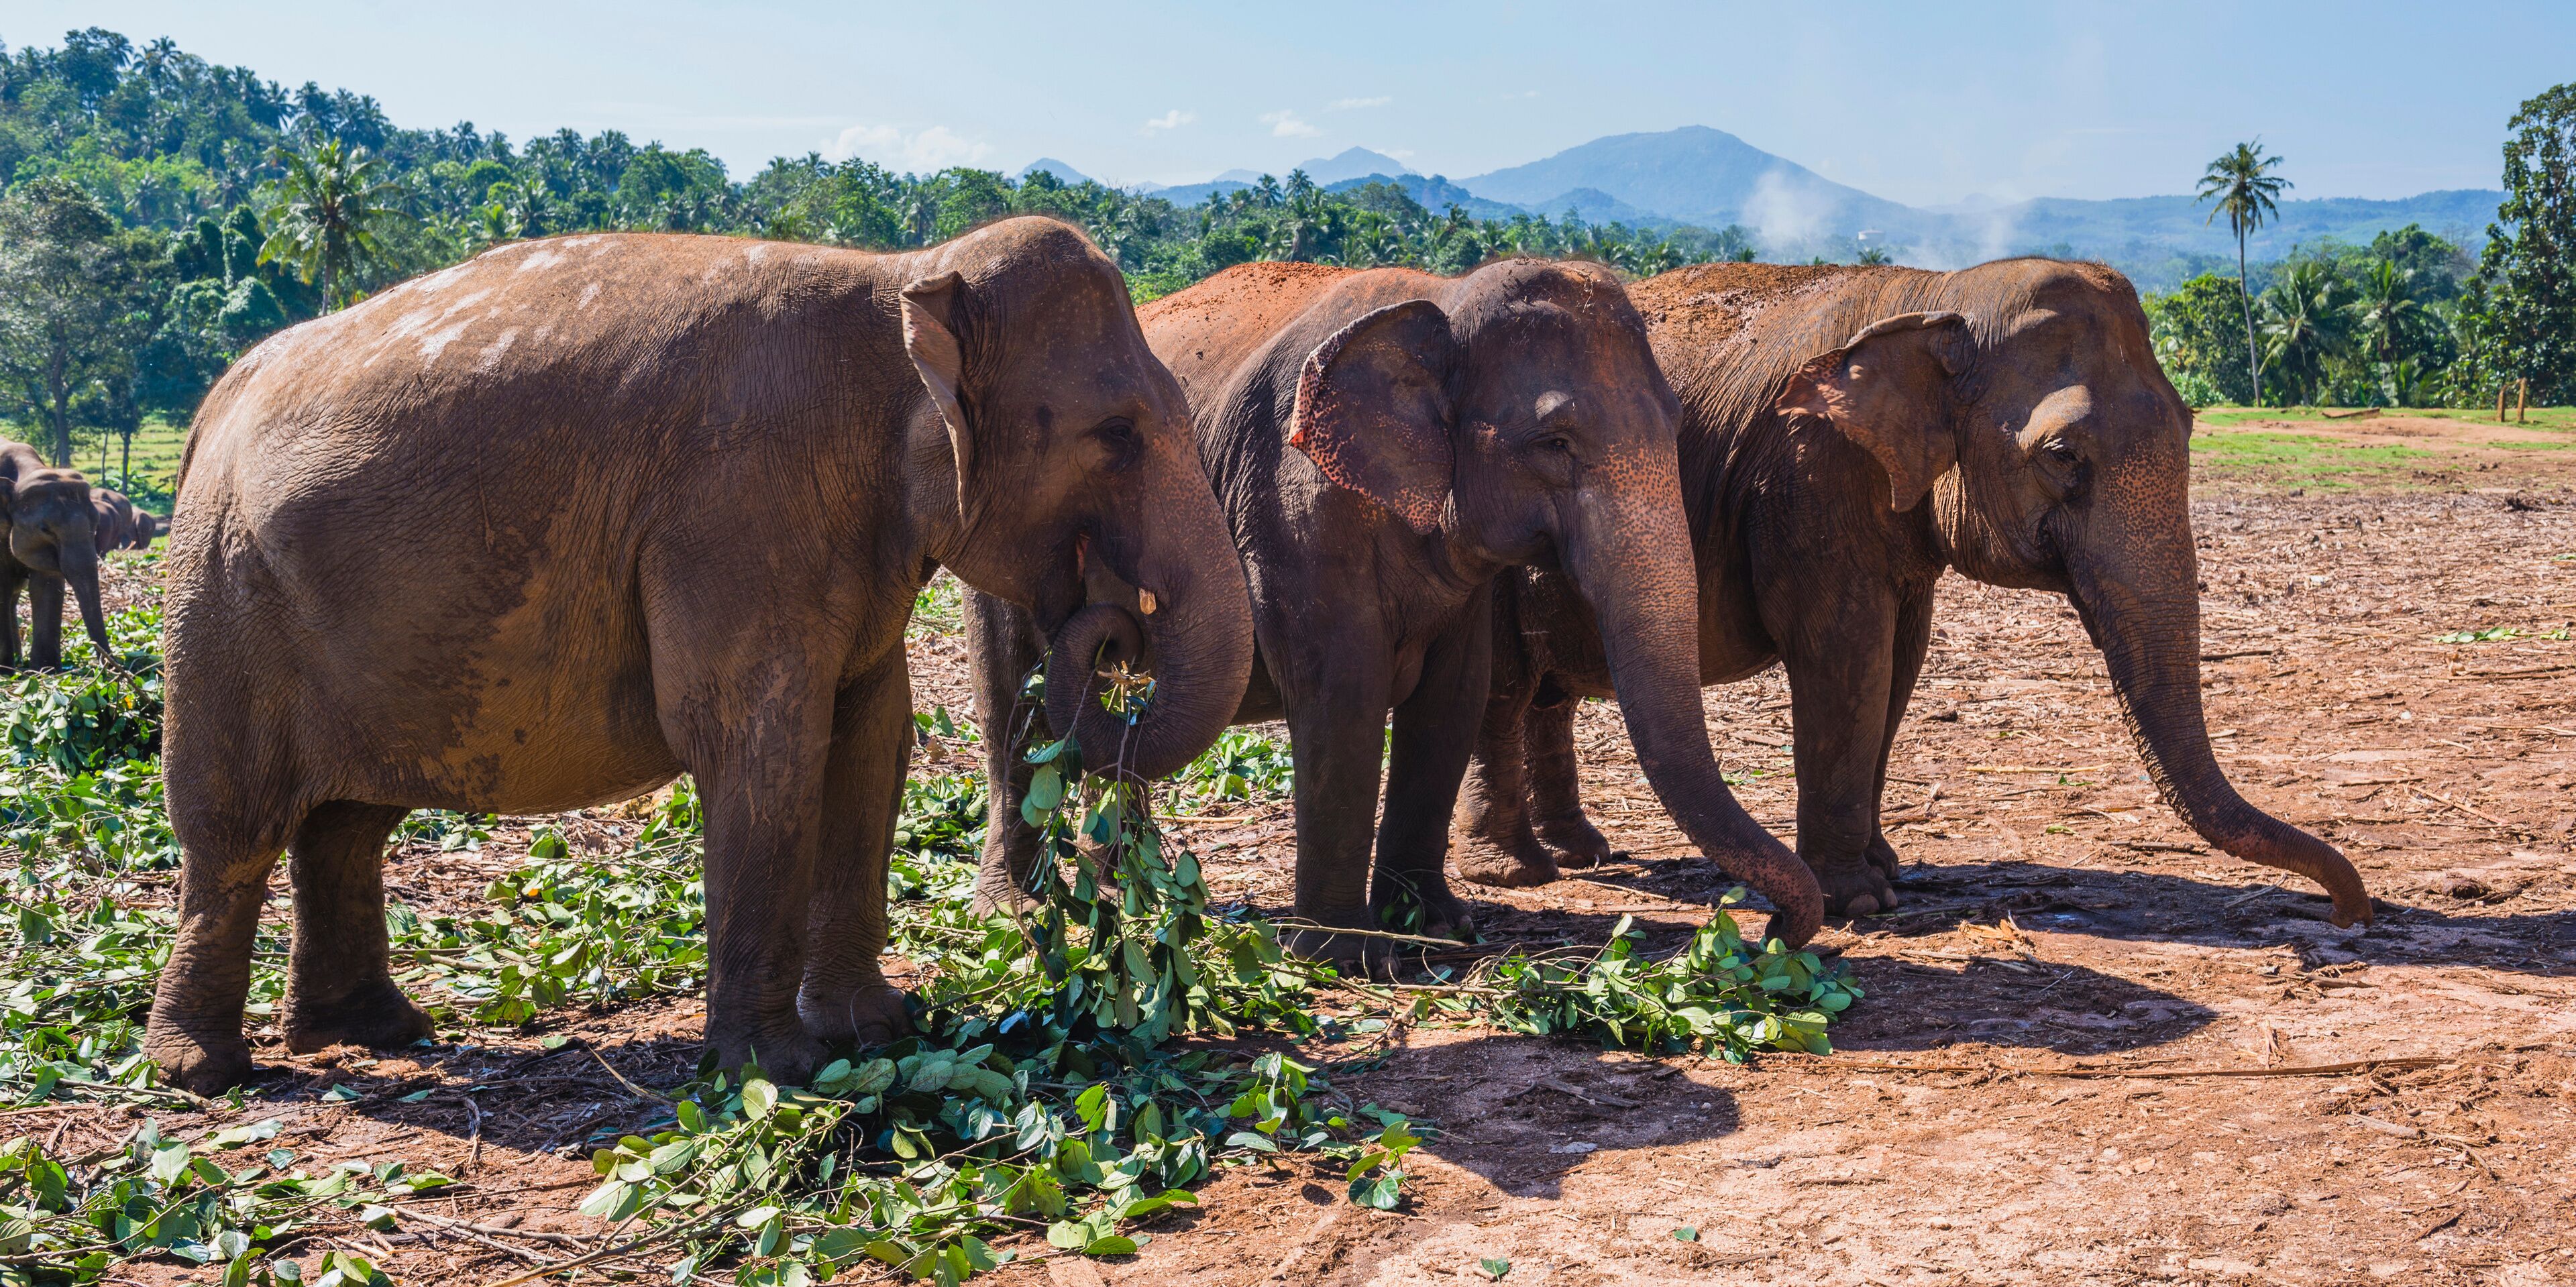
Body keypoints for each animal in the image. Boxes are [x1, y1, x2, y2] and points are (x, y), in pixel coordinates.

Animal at [0, 441, 112, 669]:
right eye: (45, 529)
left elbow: (46, 585)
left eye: (96, 524)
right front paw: (6, 670)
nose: (110, 666)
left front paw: (46, 670)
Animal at [142, 219, 1255, 1094]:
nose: (1115, 627)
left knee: (347, 822)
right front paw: (780, 1069)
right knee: (234, 830)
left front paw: (878, 1031)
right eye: (1116, 433)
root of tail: (213, 404)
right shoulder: (735, 507)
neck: (899, 278)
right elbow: (761, 740)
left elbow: (871, 739)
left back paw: (375, 1030)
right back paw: (207, 1069)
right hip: (222, 601)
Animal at [968, 259, 1824, 965]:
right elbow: (1343, 691)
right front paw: (1341, 953)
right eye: (1554, 441)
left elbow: (1453, 696)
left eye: (1676, 422)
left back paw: (1128, 886)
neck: (1443, 299)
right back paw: (1020, 907)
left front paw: (1435, 925)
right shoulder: (1293, 507)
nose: (1771, 931)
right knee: (1014, 696)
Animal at [1457, 260, 2370, 928]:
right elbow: (1845, 656)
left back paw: (1582, 854)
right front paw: (1859, 900)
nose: (2347, 912)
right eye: (2064, 456)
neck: (1939, 295)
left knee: (1547, 694)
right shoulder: (1812, 475)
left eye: (2189, 426)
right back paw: (1517, 872)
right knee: (1504, 688)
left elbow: (1899, 665)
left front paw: (1887, 868)